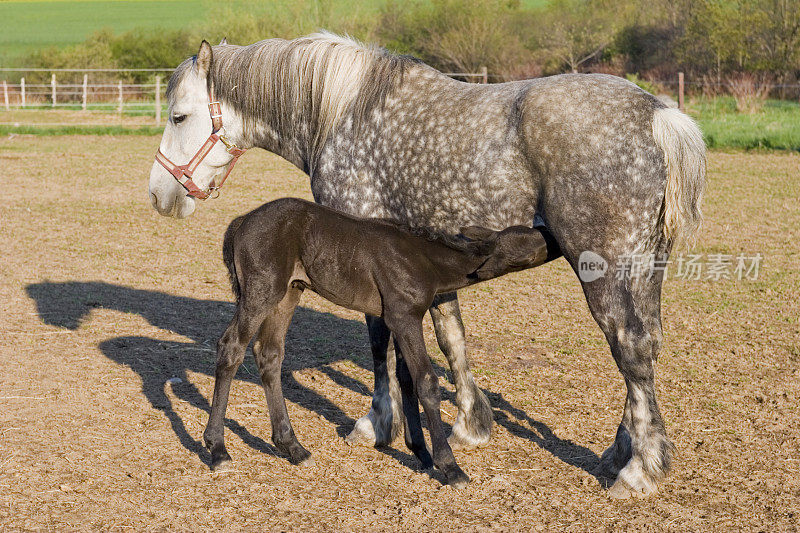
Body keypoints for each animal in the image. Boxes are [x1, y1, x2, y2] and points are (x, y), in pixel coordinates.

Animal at [147, 34, 704, 498]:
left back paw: (639, 470)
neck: (344, 111)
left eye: (179, 117)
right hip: (644, 267)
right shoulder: (426, 269)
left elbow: (380, 346)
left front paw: (379, 423)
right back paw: (623, 450)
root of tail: (659, 115)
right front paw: (469, 426)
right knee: (646, 345)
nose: (158, 195)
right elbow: (448, 337)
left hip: (604, 266)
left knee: (629, 346)